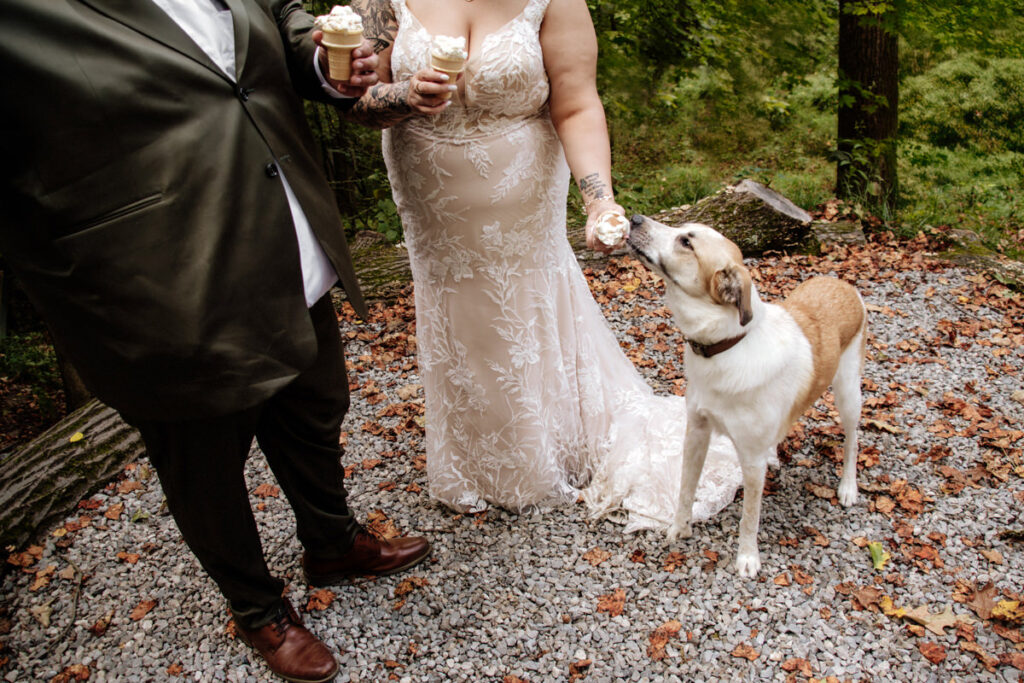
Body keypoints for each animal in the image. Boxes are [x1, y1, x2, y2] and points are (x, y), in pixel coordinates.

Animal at [626, 215, 868, 577]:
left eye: (686, 242)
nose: (635, 218)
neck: (727, 345)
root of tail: (843, 285)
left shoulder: (751, 459)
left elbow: (749, 517)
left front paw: (747, 557)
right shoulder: (696, 431)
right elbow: (686, 488)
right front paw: (680, 529)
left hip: (848, 392)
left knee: (852, 440)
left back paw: (848, 487)